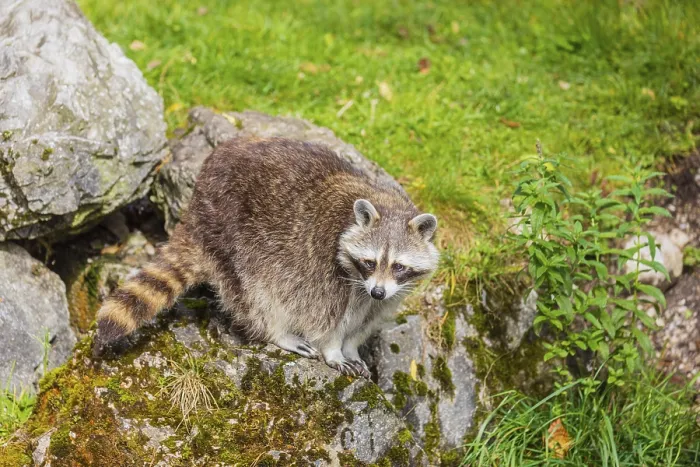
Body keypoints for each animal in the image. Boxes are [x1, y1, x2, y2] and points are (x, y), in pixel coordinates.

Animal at [94, 138, 439, 377]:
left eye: (398, 266)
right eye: (370, 262)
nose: (378, 290)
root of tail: (195, 208)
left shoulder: (388, 292)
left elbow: (367, 318)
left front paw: (352, 347)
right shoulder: (326, 266)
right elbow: (323, 316)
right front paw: (334, 350)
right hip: (232, 238)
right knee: (255, 293)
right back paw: (276, 332)